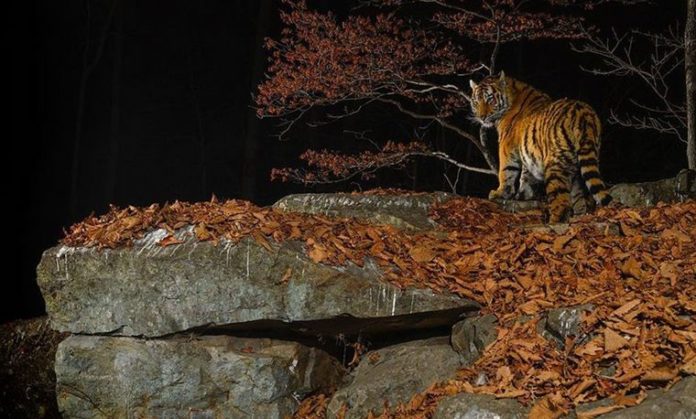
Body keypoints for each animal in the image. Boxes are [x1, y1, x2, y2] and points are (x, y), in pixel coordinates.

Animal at [468, 71, 612, 223]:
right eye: (476, 102)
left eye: (490, 99)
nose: (482, 117)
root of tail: (584, 116)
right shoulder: (528, 152)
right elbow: (526, 176)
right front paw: (523, 194)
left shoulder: (506, 148)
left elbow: (506, 172)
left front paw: (499, 193)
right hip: (579, 166)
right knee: (579, 197)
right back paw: (579, 216)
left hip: (555, 166)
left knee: (561, 202)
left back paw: (554, 222)